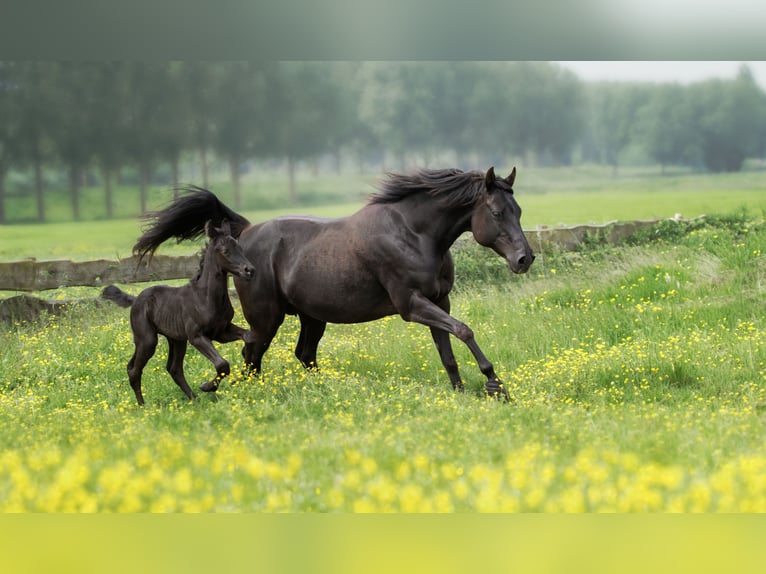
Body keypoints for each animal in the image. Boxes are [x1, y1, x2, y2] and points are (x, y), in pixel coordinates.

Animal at [101, 220, 258, 404]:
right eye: (225, 251)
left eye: (239, 248)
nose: (250, 270)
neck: (205, 297)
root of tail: (135, 300)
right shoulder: (196, 336)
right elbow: (222, 364)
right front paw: (207, 386)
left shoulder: (221, 331)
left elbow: (249, 337)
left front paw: (246, 365)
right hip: (147, 340)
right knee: (134, 369)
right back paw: (143, 406)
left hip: (176, 339)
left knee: (173, 368)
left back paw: (194, 399)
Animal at [134, 169, 536, 398]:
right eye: (496, 212)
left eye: (518, 211)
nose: (524, 259)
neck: (414, 234)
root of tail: (245, 233)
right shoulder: (412, 304)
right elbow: (464, 331)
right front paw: (494, 385)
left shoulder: (440, 301)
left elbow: (448, 350)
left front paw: (461, 393)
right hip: (267, 318)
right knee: (252, 356)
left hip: (313, 316)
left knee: (303, 355)